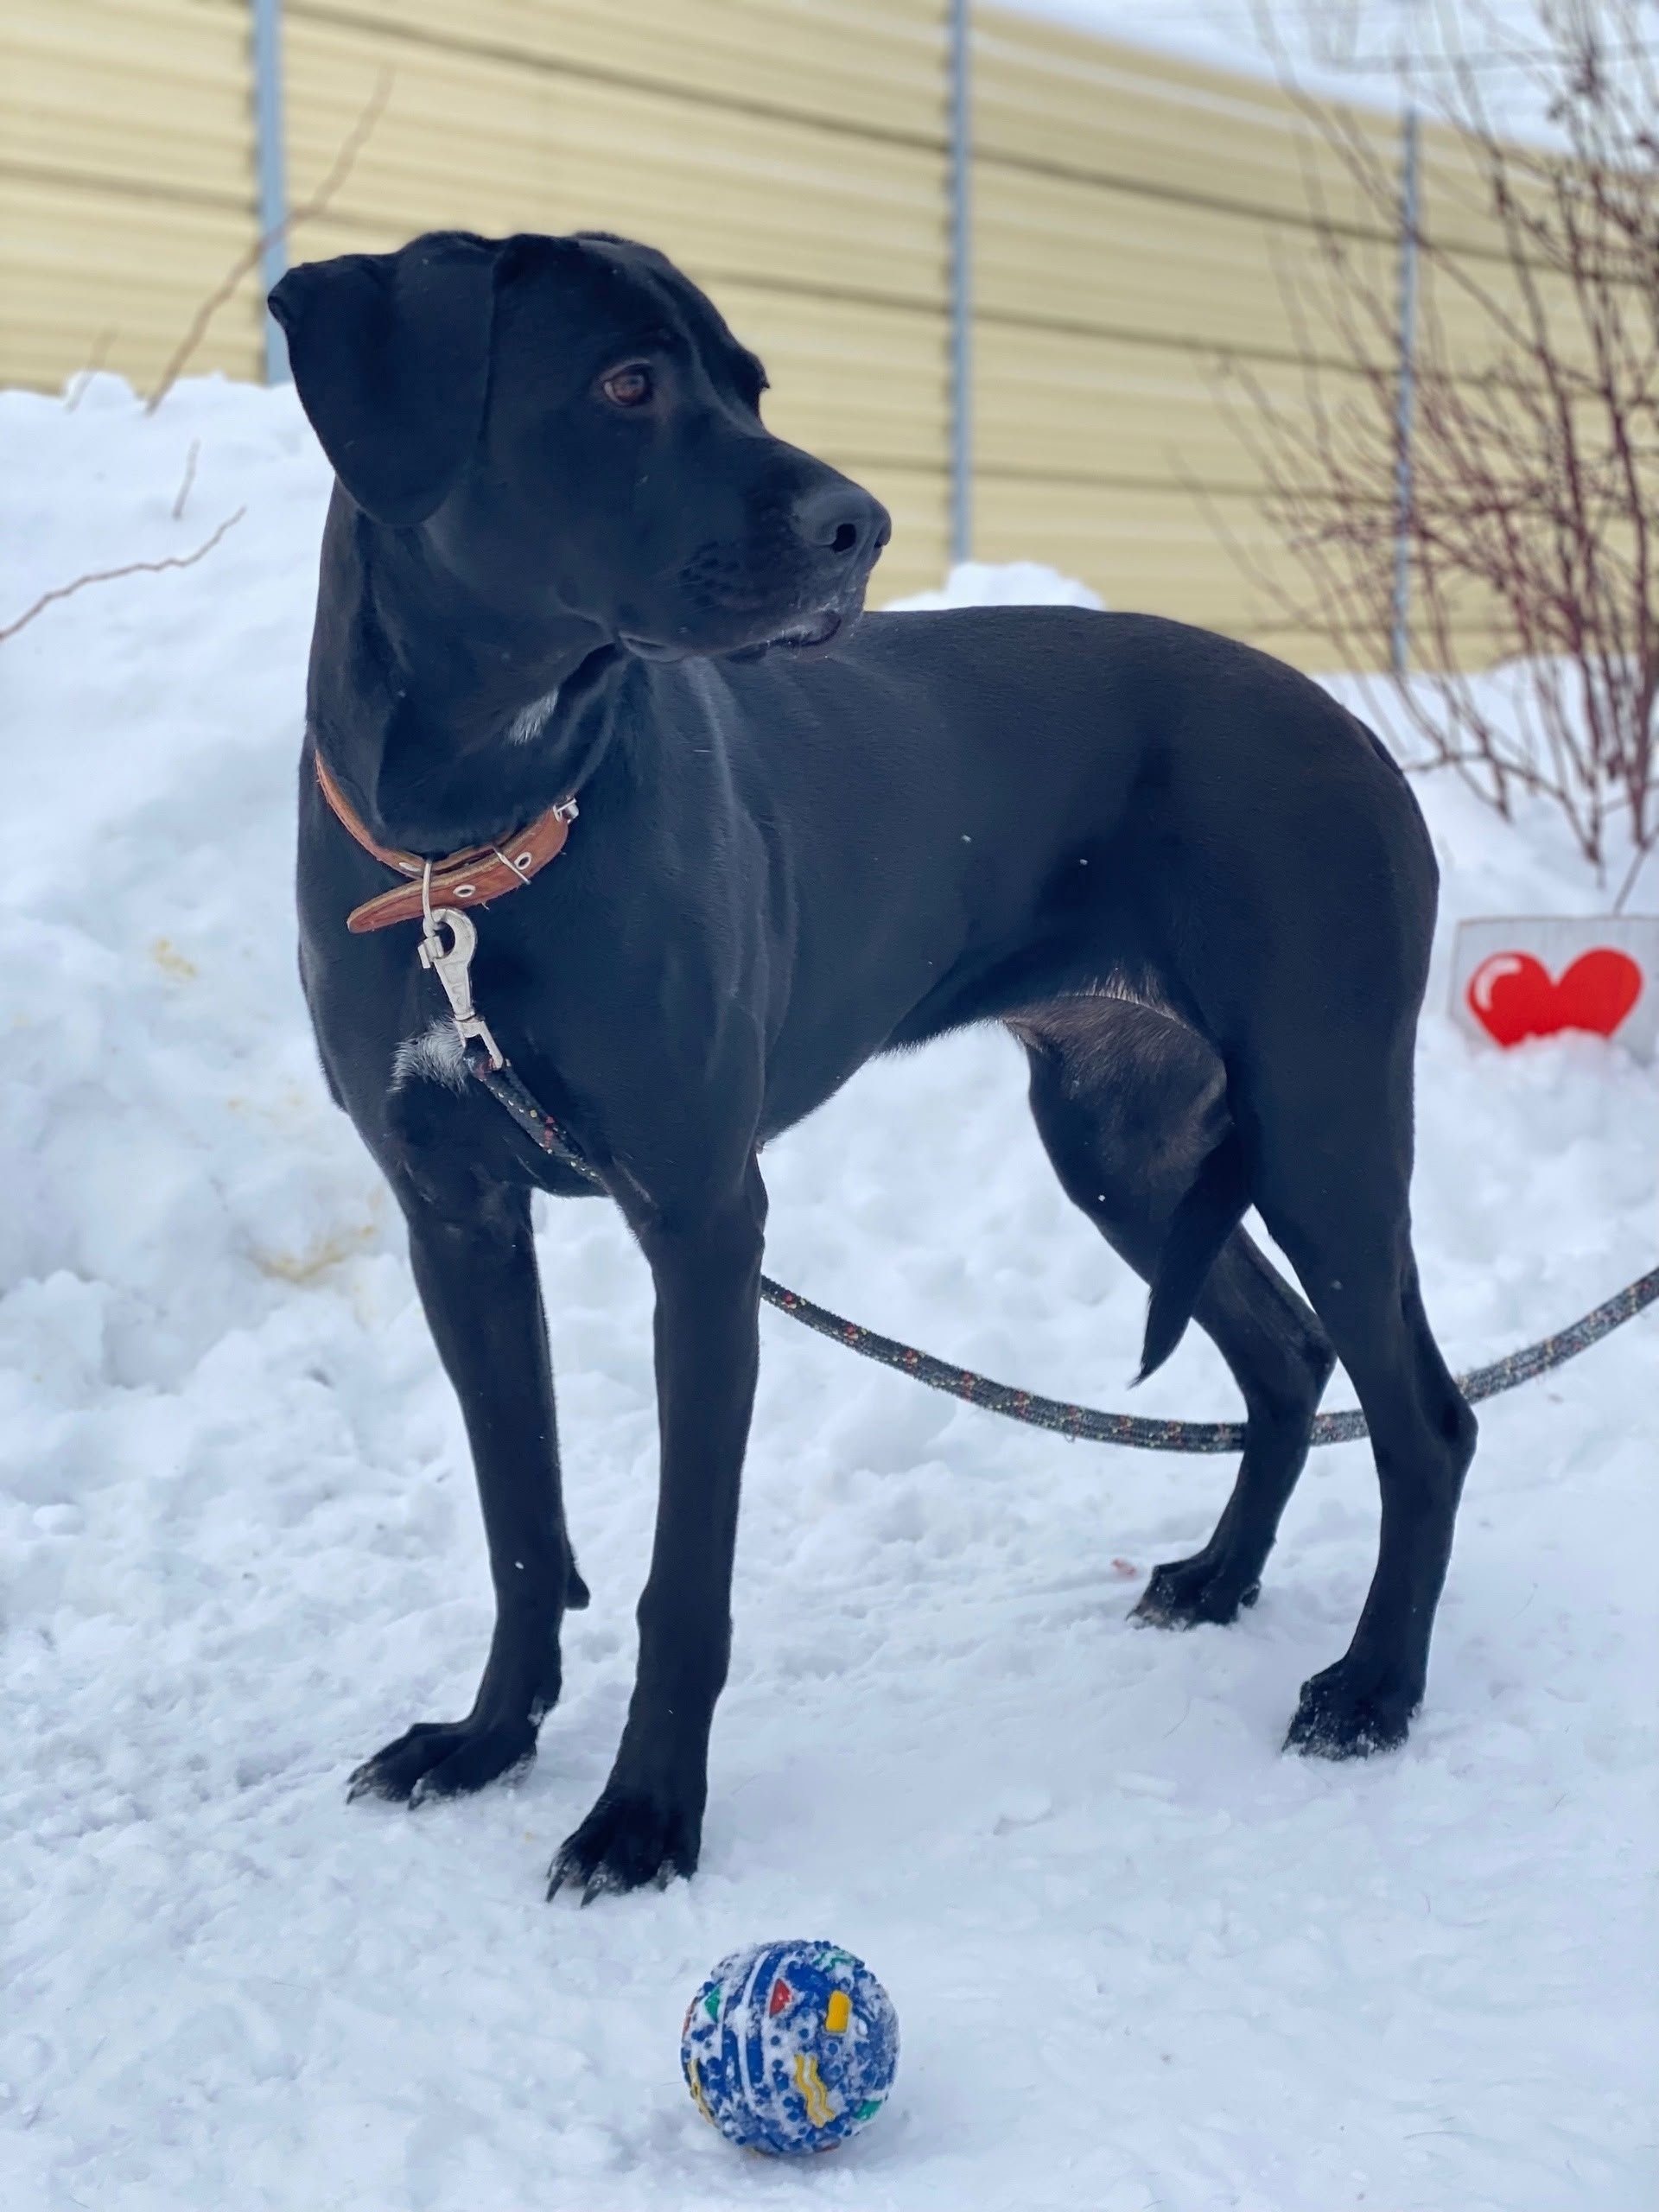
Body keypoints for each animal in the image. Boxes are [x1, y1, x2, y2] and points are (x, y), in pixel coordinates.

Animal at [271, 229, 1477, 1899]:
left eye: (749, 382)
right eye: (627, 384)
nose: (865, 526)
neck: (473, 842)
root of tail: (1360, 734)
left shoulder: (705, 1226)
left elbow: (680, 1580)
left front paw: (645, 1819)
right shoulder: (455, 1221)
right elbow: (522, 1525)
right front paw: (487, 1742)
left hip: (1322, 1124)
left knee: (1425, 1416)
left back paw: (1375, 1691)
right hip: (1126, 1146)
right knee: (1289, 1358)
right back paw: (1222, 1578)